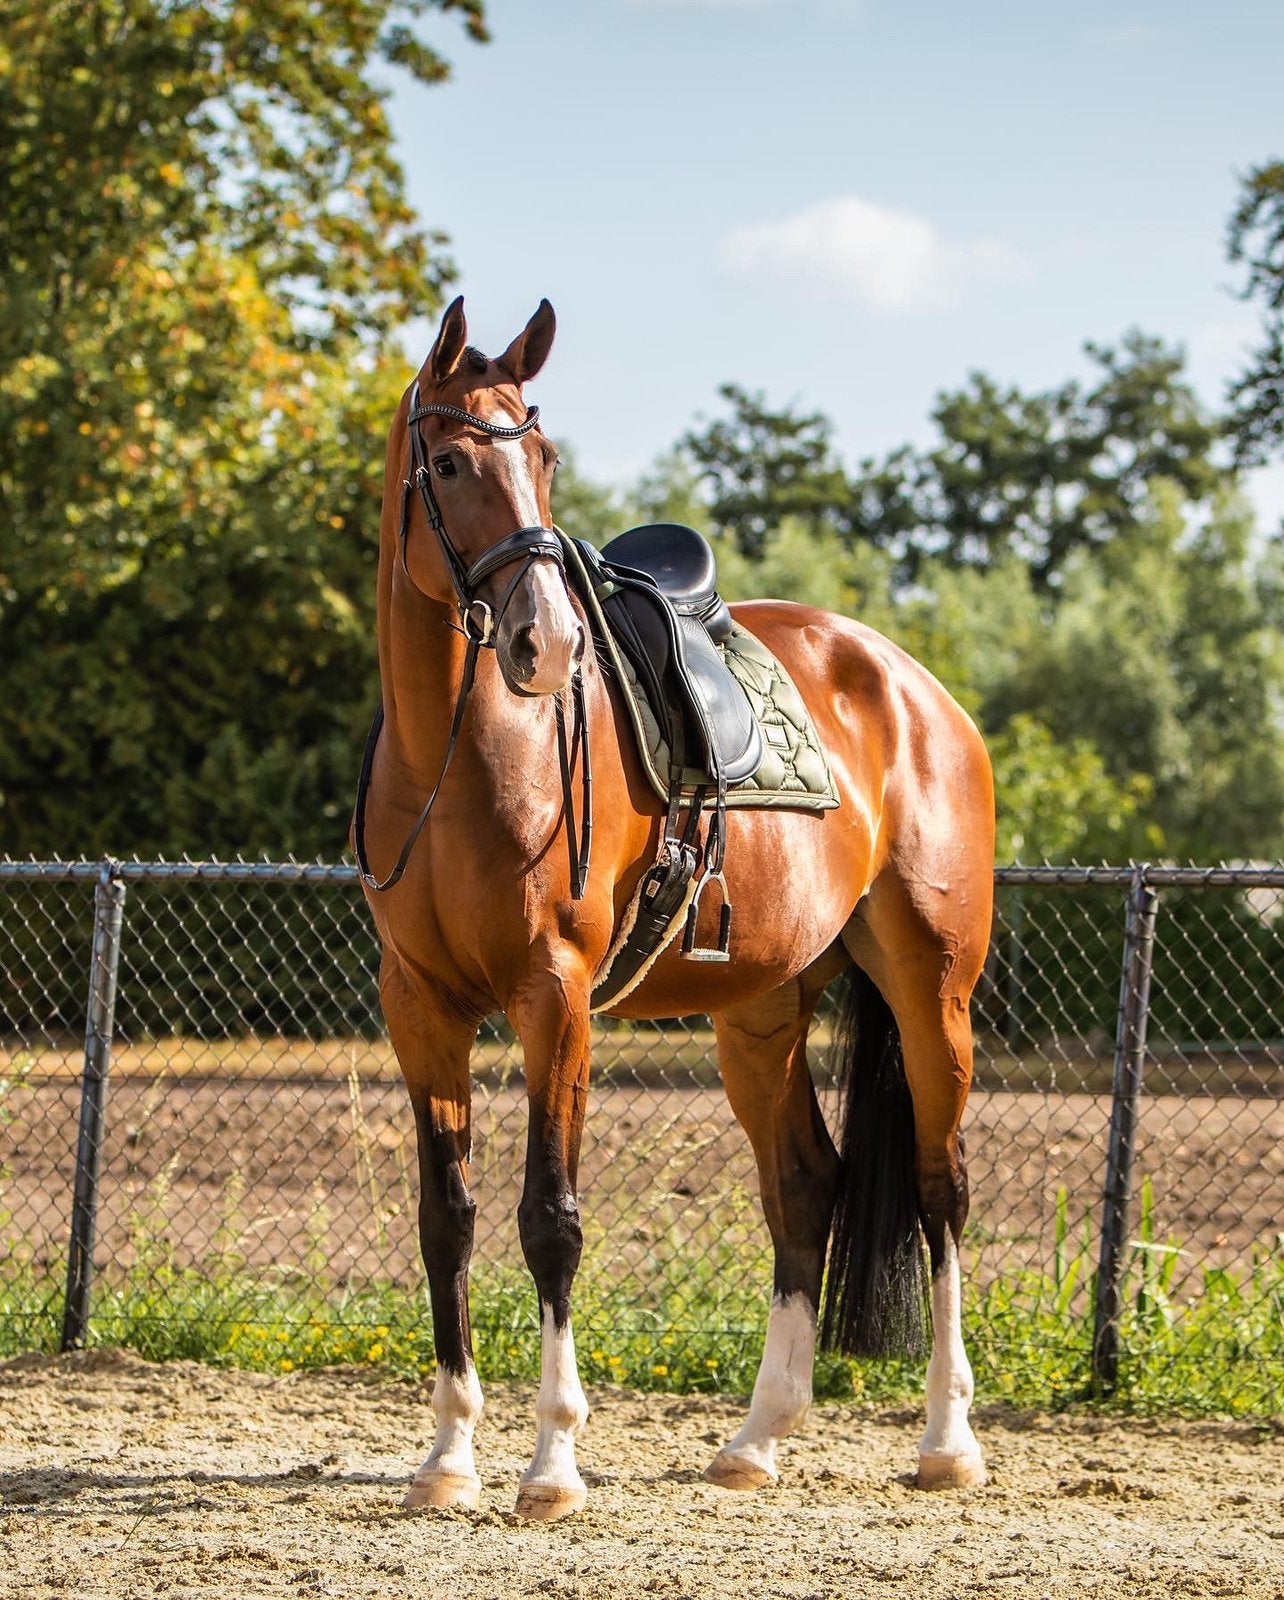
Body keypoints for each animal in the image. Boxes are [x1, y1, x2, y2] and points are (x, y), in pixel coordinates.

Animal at [353, 297, 995, 1520]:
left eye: (545, 461)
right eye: (450, 461)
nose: (547, 643)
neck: (461, 758)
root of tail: (912, 685)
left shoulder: (554, 999)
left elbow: (549, 1220)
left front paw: (552, 1465)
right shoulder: (422, 1008)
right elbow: (443, 1217)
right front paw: (448, 1458)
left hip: (930, 989)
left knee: (941, 1192)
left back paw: (948, 1441)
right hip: (761, 1014)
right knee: (808, 1186)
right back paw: (756, 1439)